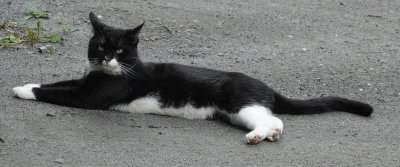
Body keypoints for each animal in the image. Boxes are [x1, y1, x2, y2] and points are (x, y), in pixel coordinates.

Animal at [13, 12, 376, 144]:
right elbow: (59, 83)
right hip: (236, 112)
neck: (104, 72)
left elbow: (57, 92)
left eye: (120, 50)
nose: (106, 58)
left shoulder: (89, 96)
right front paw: (28, 83)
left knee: (273, 120)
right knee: (273, 120)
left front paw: (21, 89)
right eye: (100, 45)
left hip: (241, 104)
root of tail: (266, 87)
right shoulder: (84, 82)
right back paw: (267, 135)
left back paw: (258, 137)